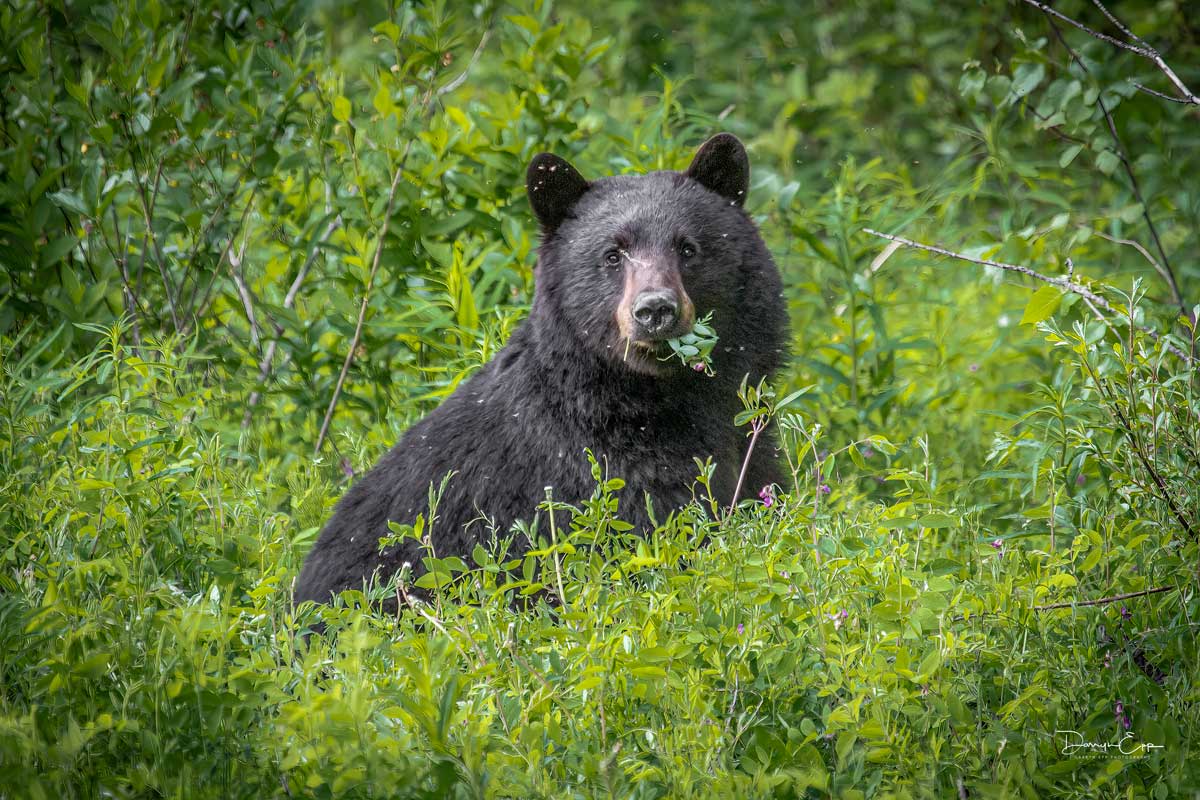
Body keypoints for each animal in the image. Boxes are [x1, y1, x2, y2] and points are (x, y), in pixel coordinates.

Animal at [292, 133, 787, 606]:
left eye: (688, 248)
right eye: (612, 254)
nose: (654, 310)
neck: (644, 406)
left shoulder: (749, 442)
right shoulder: (586, 481)